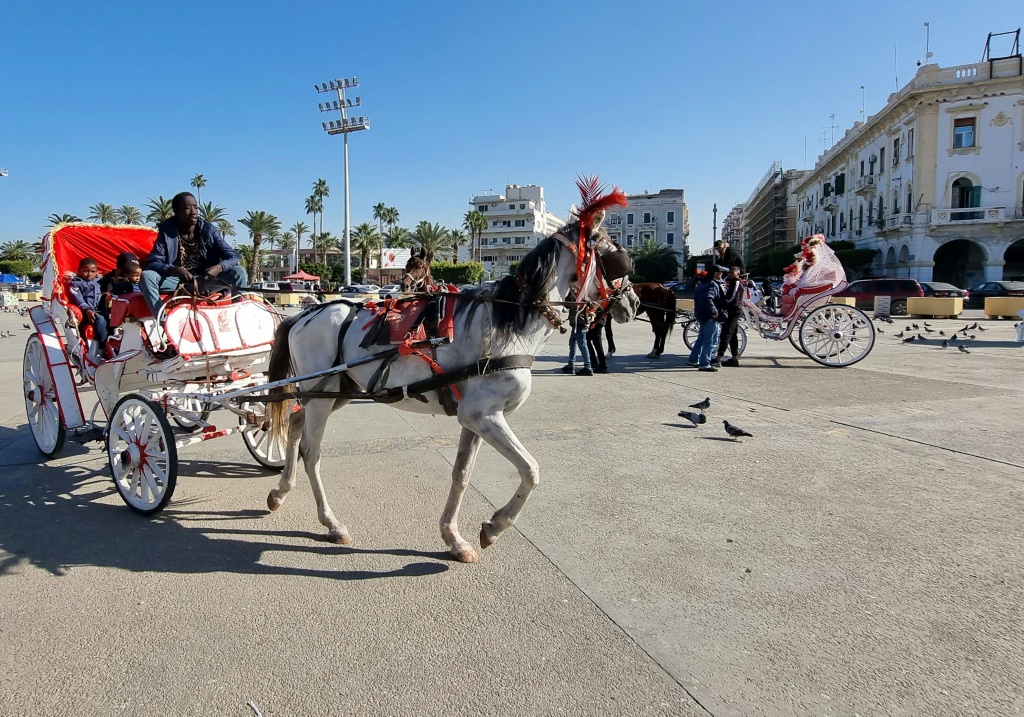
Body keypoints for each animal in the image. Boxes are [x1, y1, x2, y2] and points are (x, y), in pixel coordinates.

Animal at [264, 200, 634, 561]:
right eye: (617, 257)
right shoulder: (484, 417)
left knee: (295, 424)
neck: (506, 323)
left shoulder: (475, 419)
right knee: (311, 451)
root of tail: (304, 314)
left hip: (335, 393)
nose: (632, 301)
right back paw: (331, 522)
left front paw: (454, 538)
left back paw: (280, 491)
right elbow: (530, 470)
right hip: (323, 396)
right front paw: (496, 525)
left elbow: (462, 474)